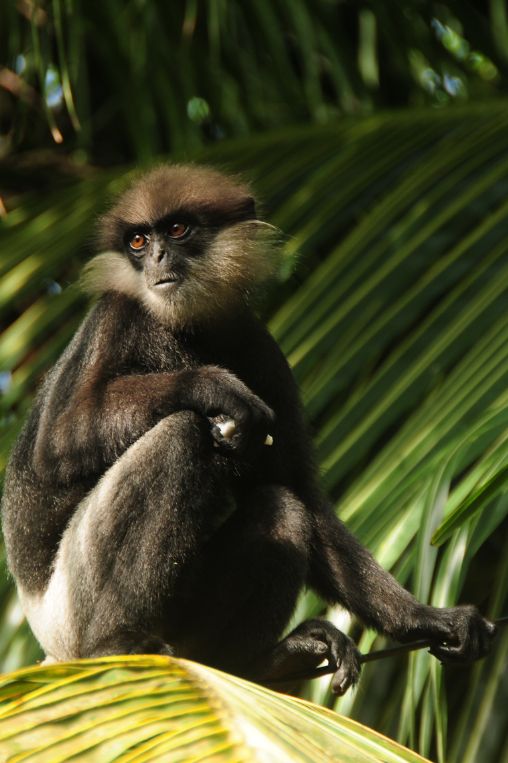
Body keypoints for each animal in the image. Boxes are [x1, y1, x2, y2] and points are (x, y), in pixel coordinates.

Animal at [1, 164, 496, 695]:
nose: (155, 257)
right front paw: (215, 388)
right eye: (138, 240)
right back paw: (116, 645)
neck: (187, 328)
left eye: (178, 230)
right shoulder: (119, 312)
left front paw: (426, 618)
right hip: (72, 603)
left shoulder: (258, 341)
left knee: (284, 510)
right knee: (180, 434)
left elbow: (302, 495)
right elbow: (58, 439)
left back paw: (250, 664)